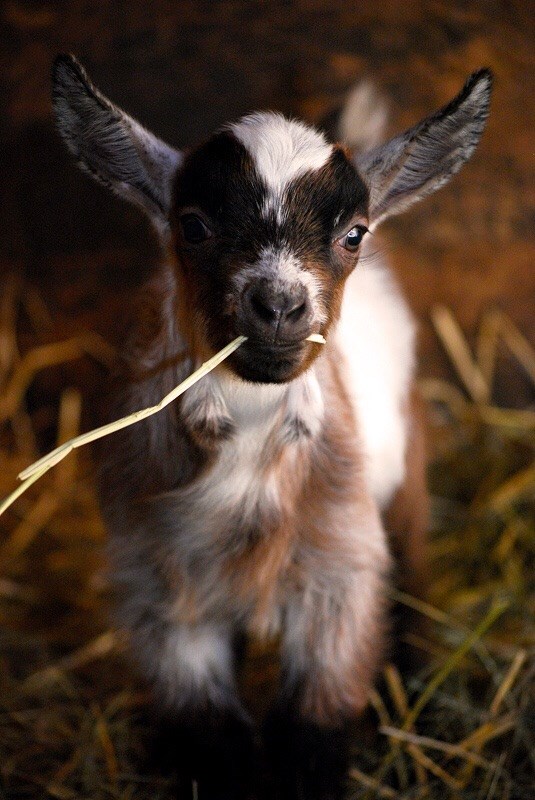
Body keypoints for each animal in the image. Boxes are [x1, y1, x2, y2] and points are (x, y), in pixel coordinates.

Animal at [52, 57, 492, 800]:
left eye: (352, 233)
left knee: (411, 582)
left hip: (404, 477)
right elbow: (212, 738)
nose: (280, 305)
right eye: (193, 225)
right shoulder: (162, 594)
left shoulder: (339, 578)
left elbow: (312, 730)